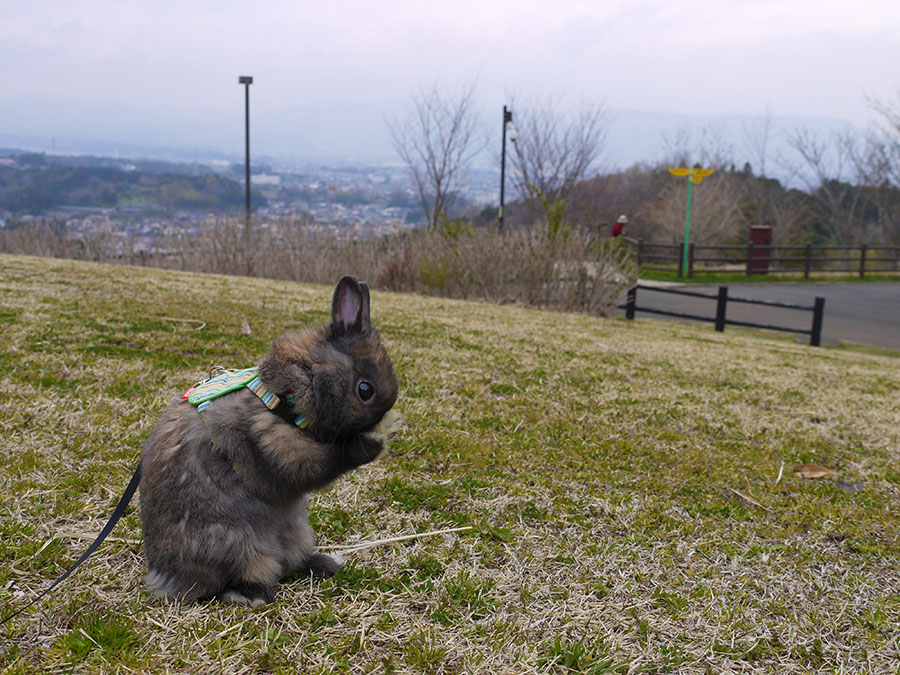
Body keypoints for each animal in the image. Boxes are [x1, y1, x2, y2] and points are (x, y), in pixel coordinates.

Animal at [139, 274, 400, 608]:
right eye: (365, 390)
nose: (382, 422)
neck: (293, 391)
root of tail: (166, 575)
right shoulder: (273, 443)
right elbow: (323, 461)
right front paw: (375, 443)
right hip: (241, 544)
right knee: (238, 577)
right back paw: (252, 595)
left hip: (295, 528)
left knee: (292, 562)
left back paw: (326, 563)